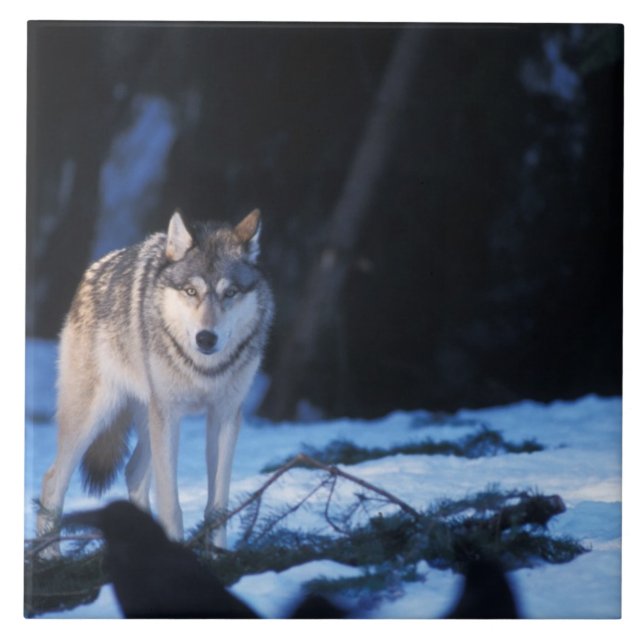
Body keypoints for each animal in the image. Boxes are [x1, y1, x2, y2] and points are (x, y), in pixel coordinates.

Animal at [37, 209, 274, 551]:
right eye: (191, 291)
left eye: (229, 293)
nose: (206, 338)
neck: (203, 369)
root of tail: (94, 269)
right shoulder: (169, 415)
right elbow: (170, 503)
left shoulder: (225, 415)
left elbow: (217, 506)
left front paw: (217, 554)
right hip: (96, 417)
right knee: (52, 481)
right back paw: (50, 557)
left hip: (149, 420)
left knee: (133, 471)